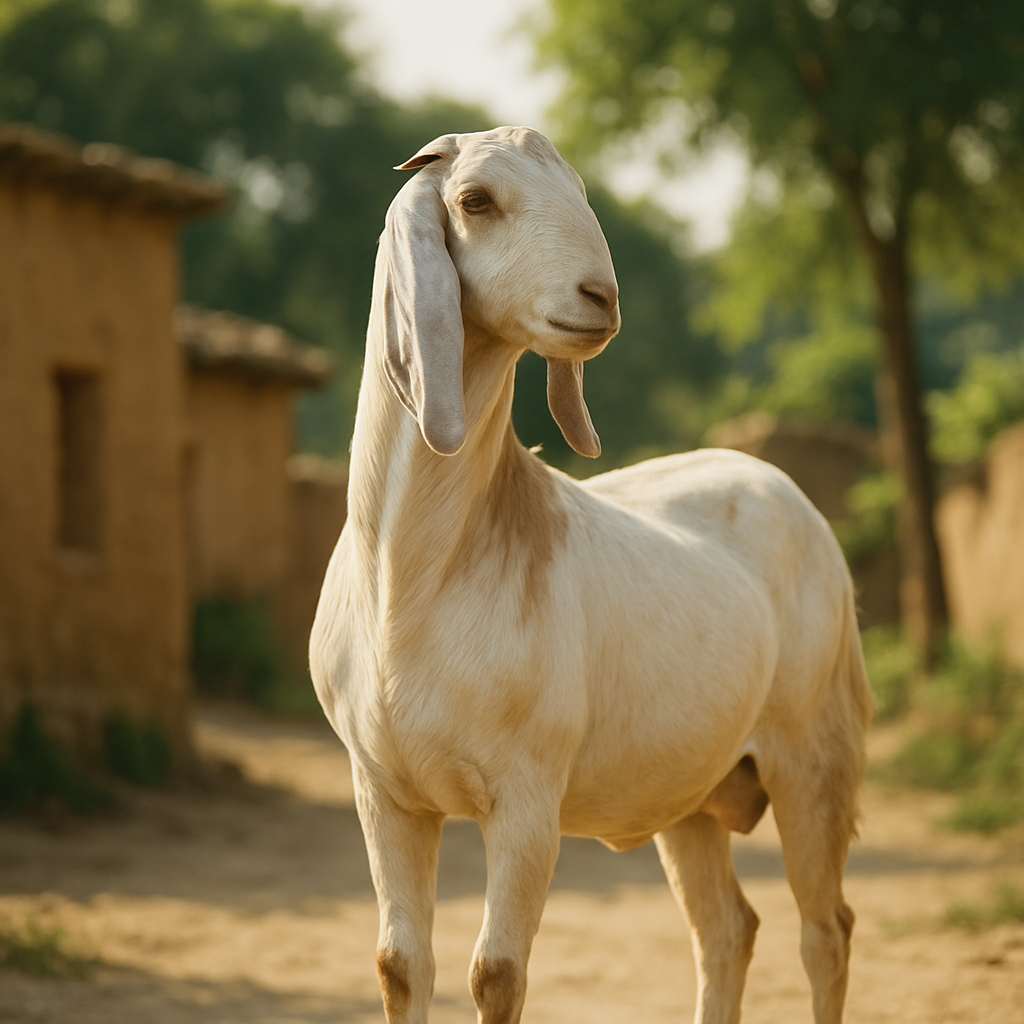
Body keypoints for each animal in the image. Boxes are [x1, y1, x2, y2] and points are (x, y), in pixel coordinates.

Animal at [310, 126, 873, 1024]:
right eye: (475, 200)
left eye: (578, 191)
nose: (600, 297)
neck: (410, 580)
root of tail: (783, 487)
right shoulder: (383, 791)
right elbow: (399, 964)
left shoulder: (527, 798)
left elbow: (495, 974)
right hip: (692, 790)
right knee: (728, 928)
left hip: (814, 752)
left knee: (826, 930)